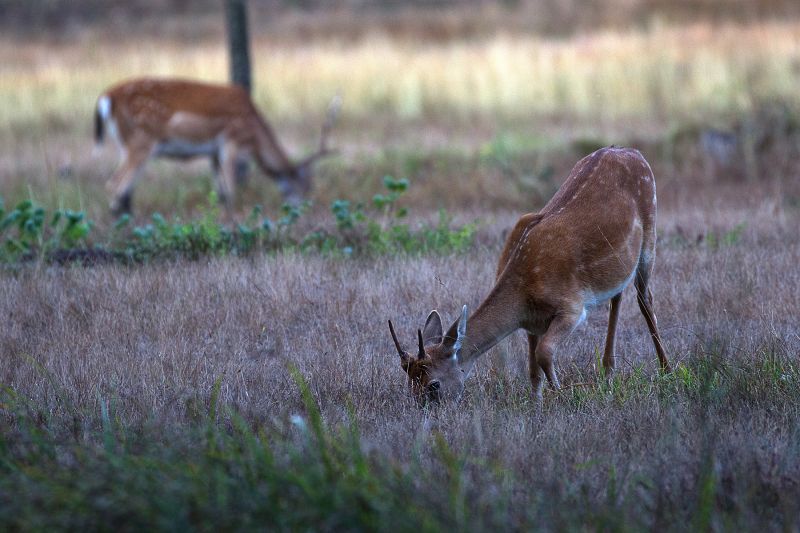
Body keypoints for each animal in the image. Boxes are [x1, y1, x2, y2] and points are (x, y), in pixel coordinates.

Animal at [94, 77, 338, 214]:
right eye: (306, 186)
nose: (304, 208)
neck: (254, 136)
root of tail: (106, 98)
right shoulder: (230, 141)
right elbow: (230, 190)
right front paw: (232, 222)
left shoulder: (212, 152)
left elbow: (219, 191)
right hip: (142, 140)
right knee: (115, 184)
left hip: (126, 144)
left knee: (123, 185)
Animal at [388, 145, 668, 404]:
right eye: (409, 383)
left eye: (433, 384)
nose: (425, 412)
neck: (525, 293)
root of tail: (632, 151)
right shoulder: (532, 323)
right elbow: (532, 366)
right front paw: (536, 401)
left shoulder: (572, 306)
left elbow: (543, 352)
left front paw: (562, 395)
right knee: (618, 295)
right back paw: (608, 371)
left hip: (650, 232)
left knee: (645, 298)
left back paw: (665, 368)